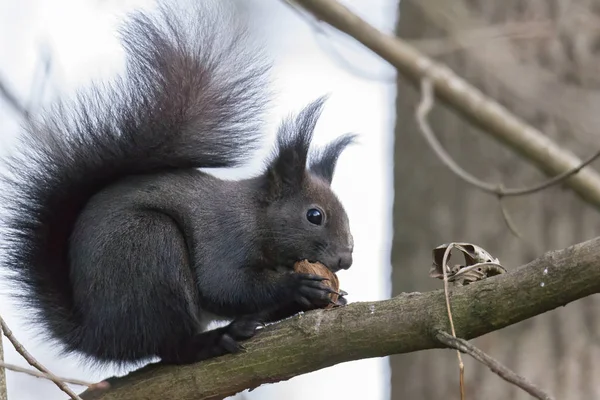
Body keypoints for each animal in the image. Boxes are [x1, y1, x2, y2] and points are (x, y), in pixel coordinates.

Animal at [1, 2, 356, 366]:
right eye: (314, 216)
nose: (346, 259)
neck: (256, 217)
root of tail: (97, 336)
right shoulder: (225, 237)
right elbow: (224, 285)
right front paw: (298, 287)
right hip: (149, 249)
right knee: (169, 345)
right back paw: (214, 340)